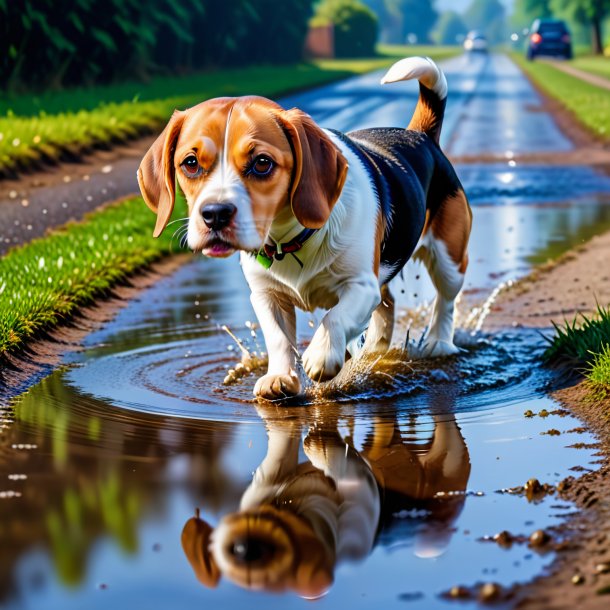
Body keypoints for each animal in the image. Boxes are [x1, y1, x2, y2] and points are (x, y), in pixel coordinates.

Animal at [137, 55, 470, 400]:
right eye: (190, 163)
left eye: (262, 163)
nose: (214, 214)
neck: (290, 240)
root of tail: (420, 136)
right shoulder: (266, 294)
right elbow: (278, 338)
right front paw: (279, 377)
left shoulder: (361, 284)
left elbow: (335, 317)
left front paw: (322, 356)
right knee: (387, 305)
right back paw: (373, 354)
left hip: (449, 259)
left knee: (445, 302)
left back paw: (437, 344)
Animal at [178, 402, 468, 596]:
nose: (244, 549)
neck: (297, 501)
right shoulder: (270, 478)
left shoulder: (357, 482)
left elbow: (336, 460)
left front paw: (318, 447)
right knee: (386, 431)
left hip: (451, 451)